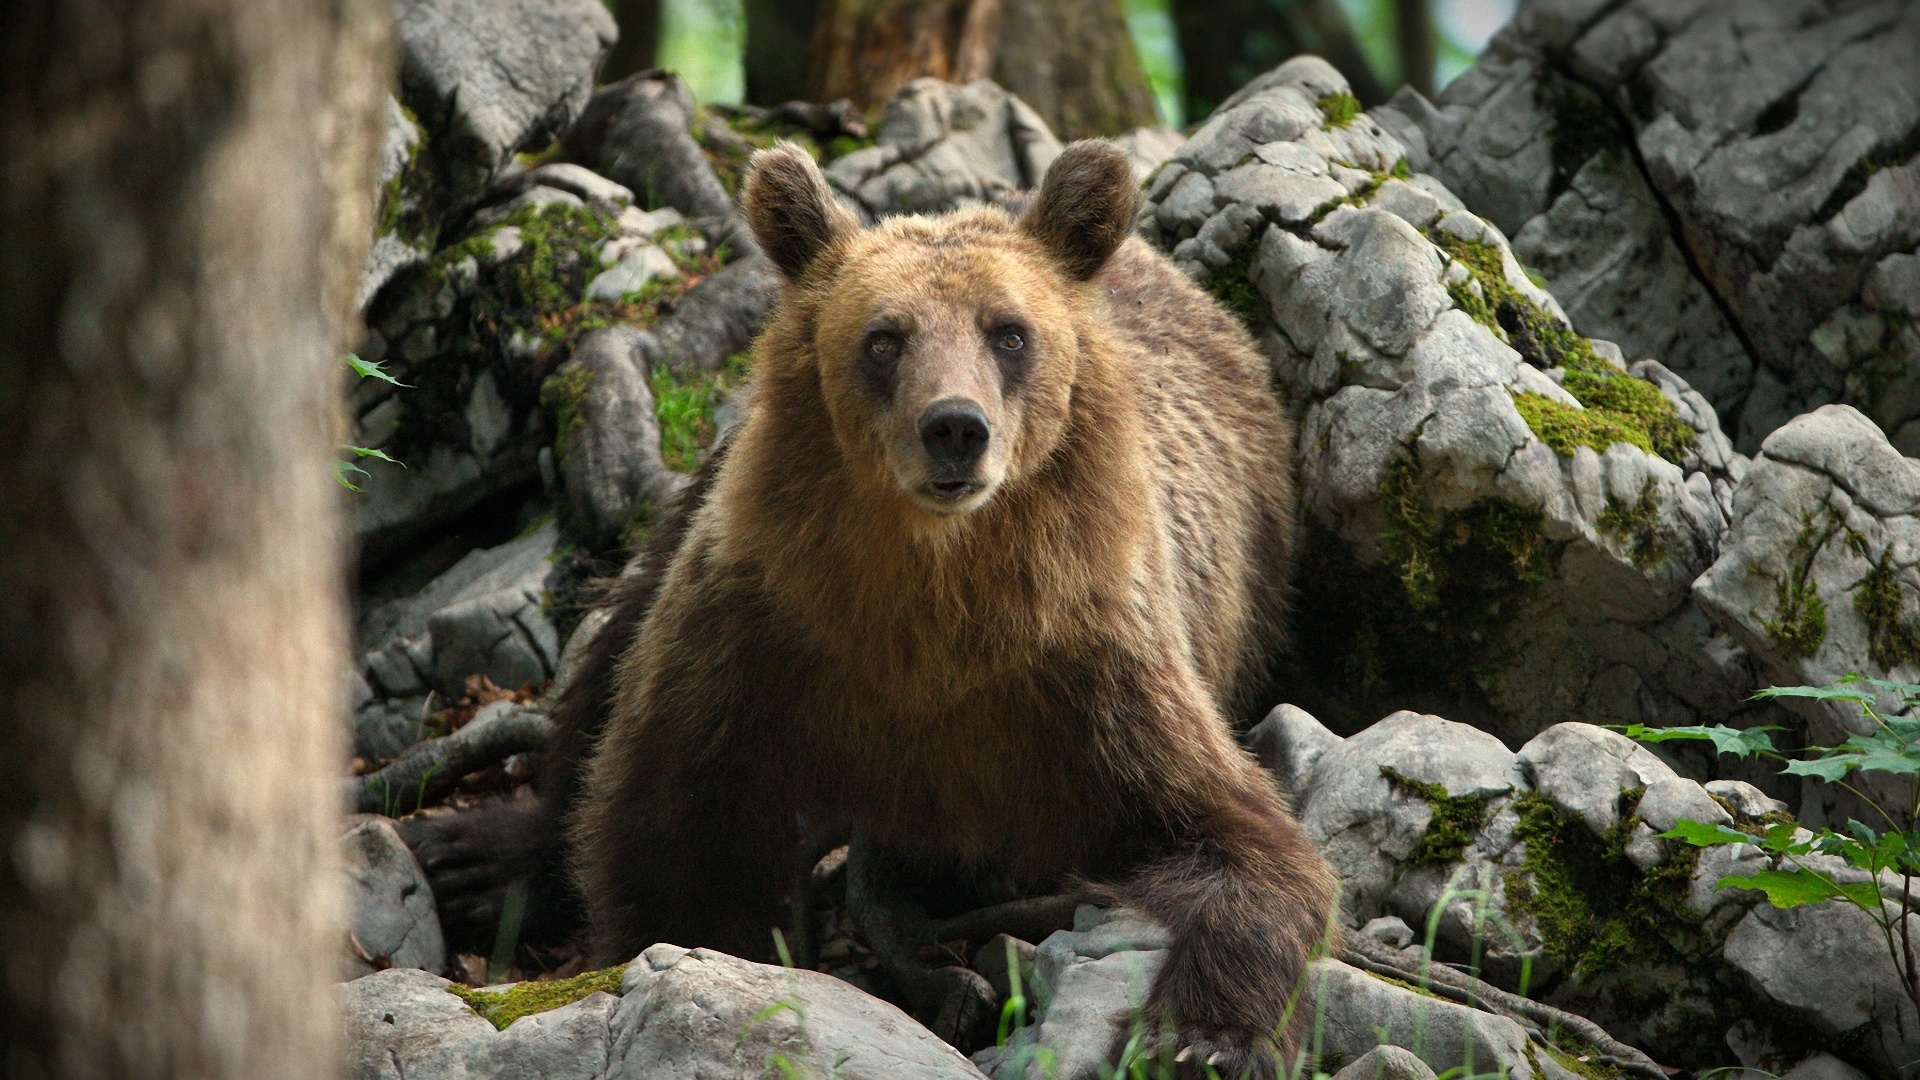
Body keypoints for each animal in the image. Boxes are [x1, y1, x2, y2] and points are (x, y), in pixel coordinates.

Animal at [560, 141, 1336, 1068]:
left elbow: (1244, 838)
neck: (933, 601)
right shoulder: (762, 630)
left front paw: (1209, 1038)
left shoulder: (1091, 675)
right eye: (884, 338)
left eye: (1010, 332)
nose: (955, 427)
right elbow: (673, 831)